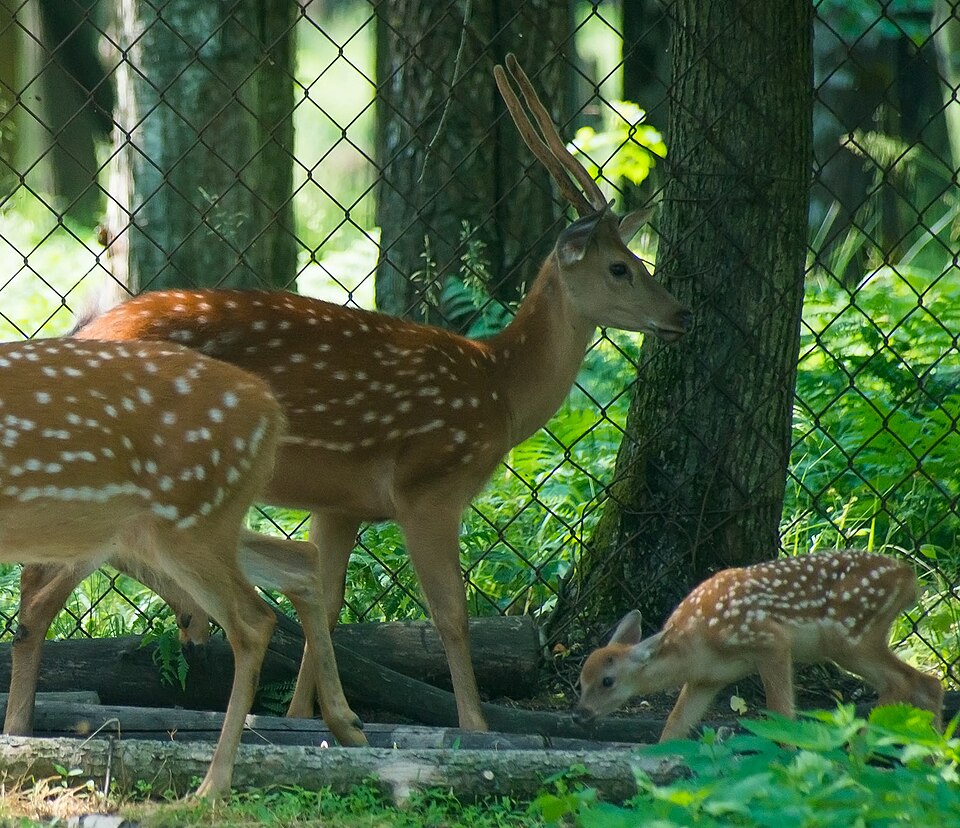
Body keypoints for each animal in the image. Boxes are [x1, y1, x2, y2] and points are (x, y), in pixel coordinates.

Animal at [0, 336, 366, 797]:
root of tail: (271, 409)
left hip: (188, 520)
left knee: (254, 621)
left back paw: (212, 784)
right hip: (173, 528)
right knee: (301, 559)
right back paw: (348, 725)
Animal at [12, 54, 692, 735]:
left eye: (638, 258)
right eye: (620, 268)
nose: (681, 314)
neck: (496, 388)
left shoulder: (340, 503)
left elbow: (329, 598)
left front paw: (308, 717)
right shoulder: (427, 486)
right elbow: (451, 614)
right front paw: (474, 725)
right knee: (46, 582)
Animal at [575, 550, 944, 742]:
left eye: (608, 681)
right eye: (580, 681)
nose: (580, 713)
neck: (696, 645)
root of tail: (910, 578)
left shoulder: (769, 641)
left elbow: (782, 713)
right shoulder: (706, 680)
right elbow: (674, 726)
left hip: (851, 636)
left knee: (903, 680)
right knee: (927, 682)